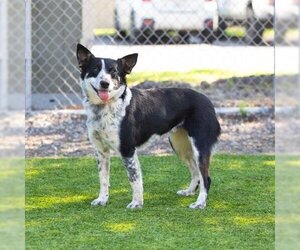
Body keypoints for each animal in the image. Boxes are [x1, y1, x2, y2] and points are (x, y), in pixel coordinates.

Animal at [75, 44, 220, 209]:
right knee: (196, 173)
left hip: (200, 146)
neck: (107, 107)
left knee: (206, 178)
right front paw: (102, 200)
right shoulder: (101, 151)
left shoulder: (128, 150)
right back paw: (189, 191)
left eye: (114, 72)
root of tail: (207, 101)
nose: (105, 83)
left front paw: (137, 203)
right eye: (95, 69)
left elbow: (134, 179)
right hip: (180, 146)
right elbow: (103, 179)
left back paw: (200, 203)